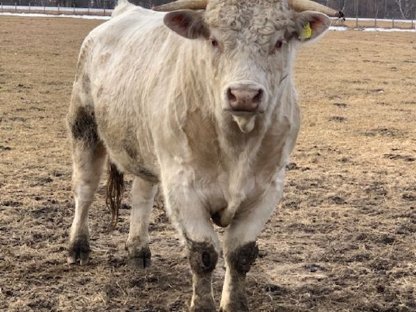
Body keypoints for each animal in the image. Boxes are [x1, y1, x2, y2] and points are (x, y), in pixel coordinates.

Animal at [66, 0, 338, 310]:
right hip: (84, 128)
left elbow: (240, 254)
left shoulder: (267, 188)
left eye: (279, 41)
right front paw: (203, 303)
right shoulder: (183, 188)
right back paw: (78, 247)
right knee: (85, 190)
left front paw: (234, 304)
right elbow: (204, 254)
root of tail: (124, 11)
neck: (237, 144)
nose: (244, 95)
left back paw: (138, 250)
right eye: (214, 40)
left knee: (142, 195)